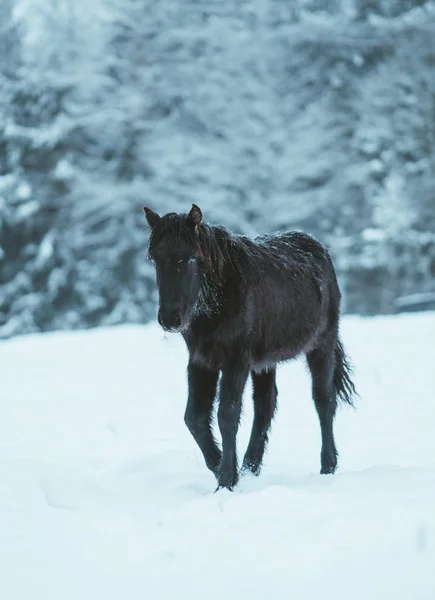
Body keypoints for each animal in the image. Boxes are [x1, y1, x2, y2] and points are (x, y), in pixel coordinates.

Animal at [145, 204, 356, 490]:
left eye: (189, 258)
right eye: (155, 259)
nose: (170, 319)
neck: (218, 301)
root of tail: (317, 246)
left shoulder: (236, 361)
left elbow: (227, 414)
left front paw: (226, 479)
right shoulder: (201, 361)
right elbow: (195, 418)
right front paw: (223, 466)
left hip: (322, 344)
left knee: (324, 401)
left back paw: (327, 466)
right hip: (265, 360)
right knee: (266, 404)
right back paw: (250, 466)